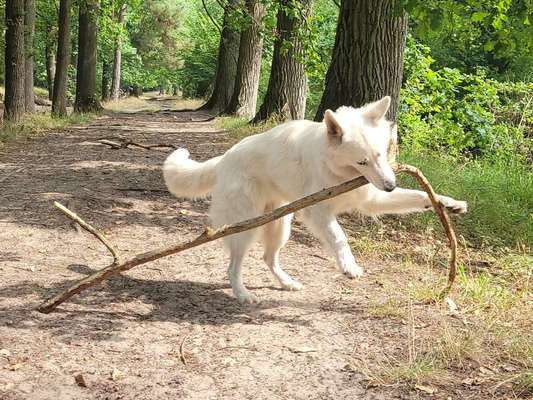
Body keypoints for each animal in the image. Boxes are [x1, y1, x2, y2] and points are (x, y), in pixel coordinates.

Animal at [162, 97, 466, 304]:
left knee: (268, 258)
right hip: (248, 227)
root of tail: (224, 159)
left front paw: (448, 203)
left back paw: (287, 283)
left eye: (380, 154)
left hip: (280, 225)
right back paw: (242, 293)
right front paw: (348, 266)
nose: (391, 186)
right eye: (362, 161)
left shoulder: (373, 199)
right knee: (233, 267)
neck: (338, 170)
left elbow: (419, 196)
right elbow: (339, 237)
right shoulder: (319, 212)